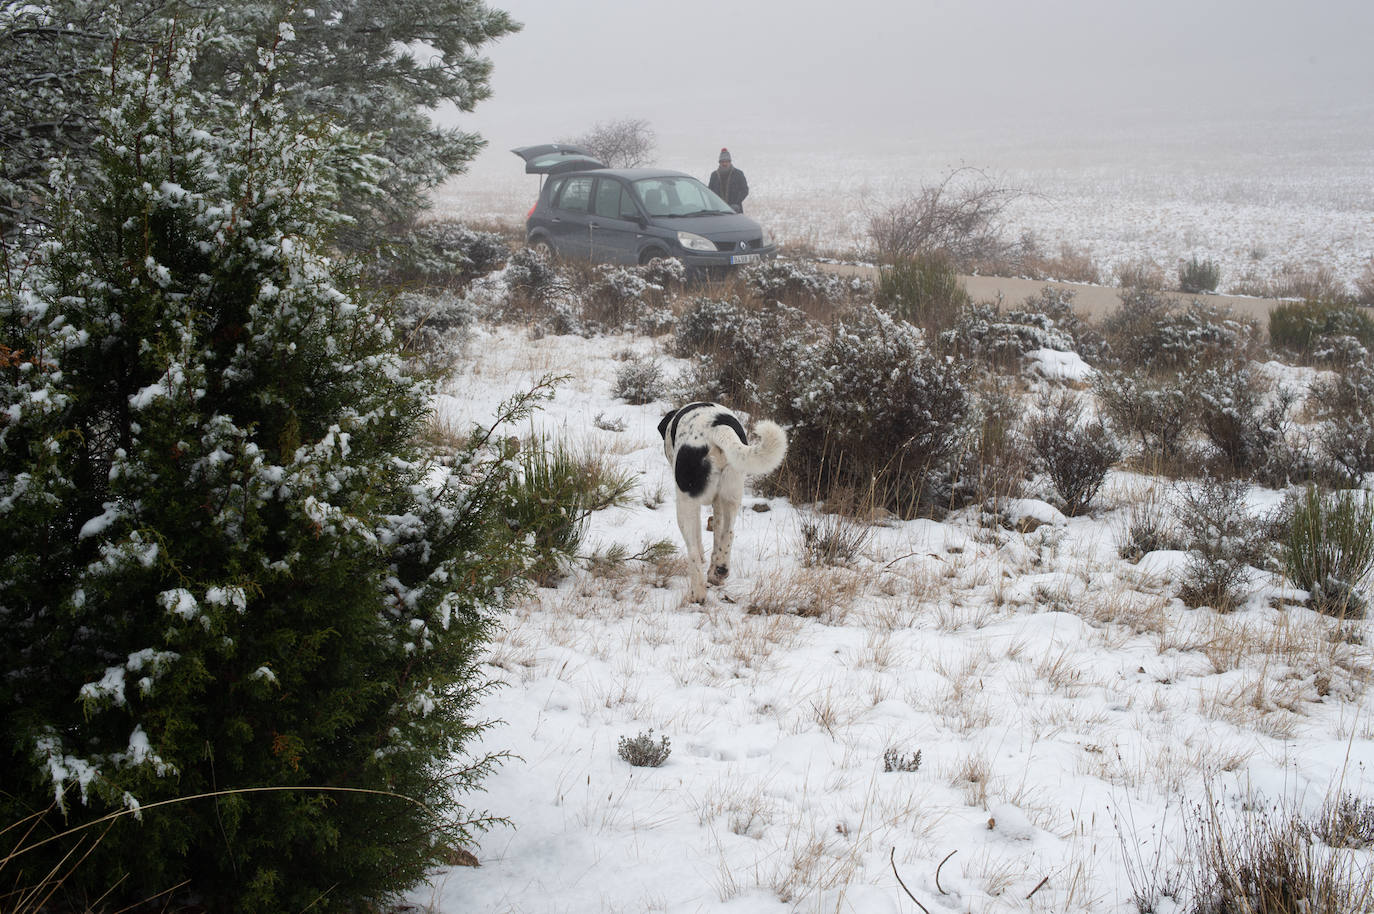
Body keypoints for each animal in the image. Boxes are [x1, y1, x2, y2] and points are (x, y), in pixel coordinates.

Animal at [659, 404, 791, 602]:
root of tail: (715, 428)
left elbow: (698, 541)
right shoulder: (718, 504)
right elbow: (717, 535)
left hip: (685, 504)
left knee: (693, 551)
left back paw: (697, 593)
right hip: (732, 493)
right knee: (728, 533)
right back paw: (719, 571)